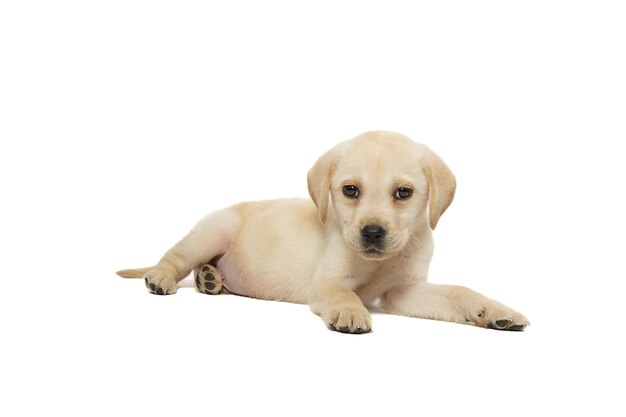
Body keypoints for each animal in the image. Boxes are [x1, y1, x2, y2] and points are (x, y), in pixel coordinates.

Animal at [117, 130, 528, 332]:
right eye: (350, 190)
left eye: (403, 193)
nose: (372, 233)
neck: (377, 263)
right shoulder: (326, 280)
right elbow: (341, 292)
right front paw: (349, 311)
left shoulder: (403, 291)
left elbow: (457, 292)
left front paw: (493, 310)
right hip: (214, 229)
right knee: (174, 256)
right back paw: (164, 277)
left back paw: (209, 279)